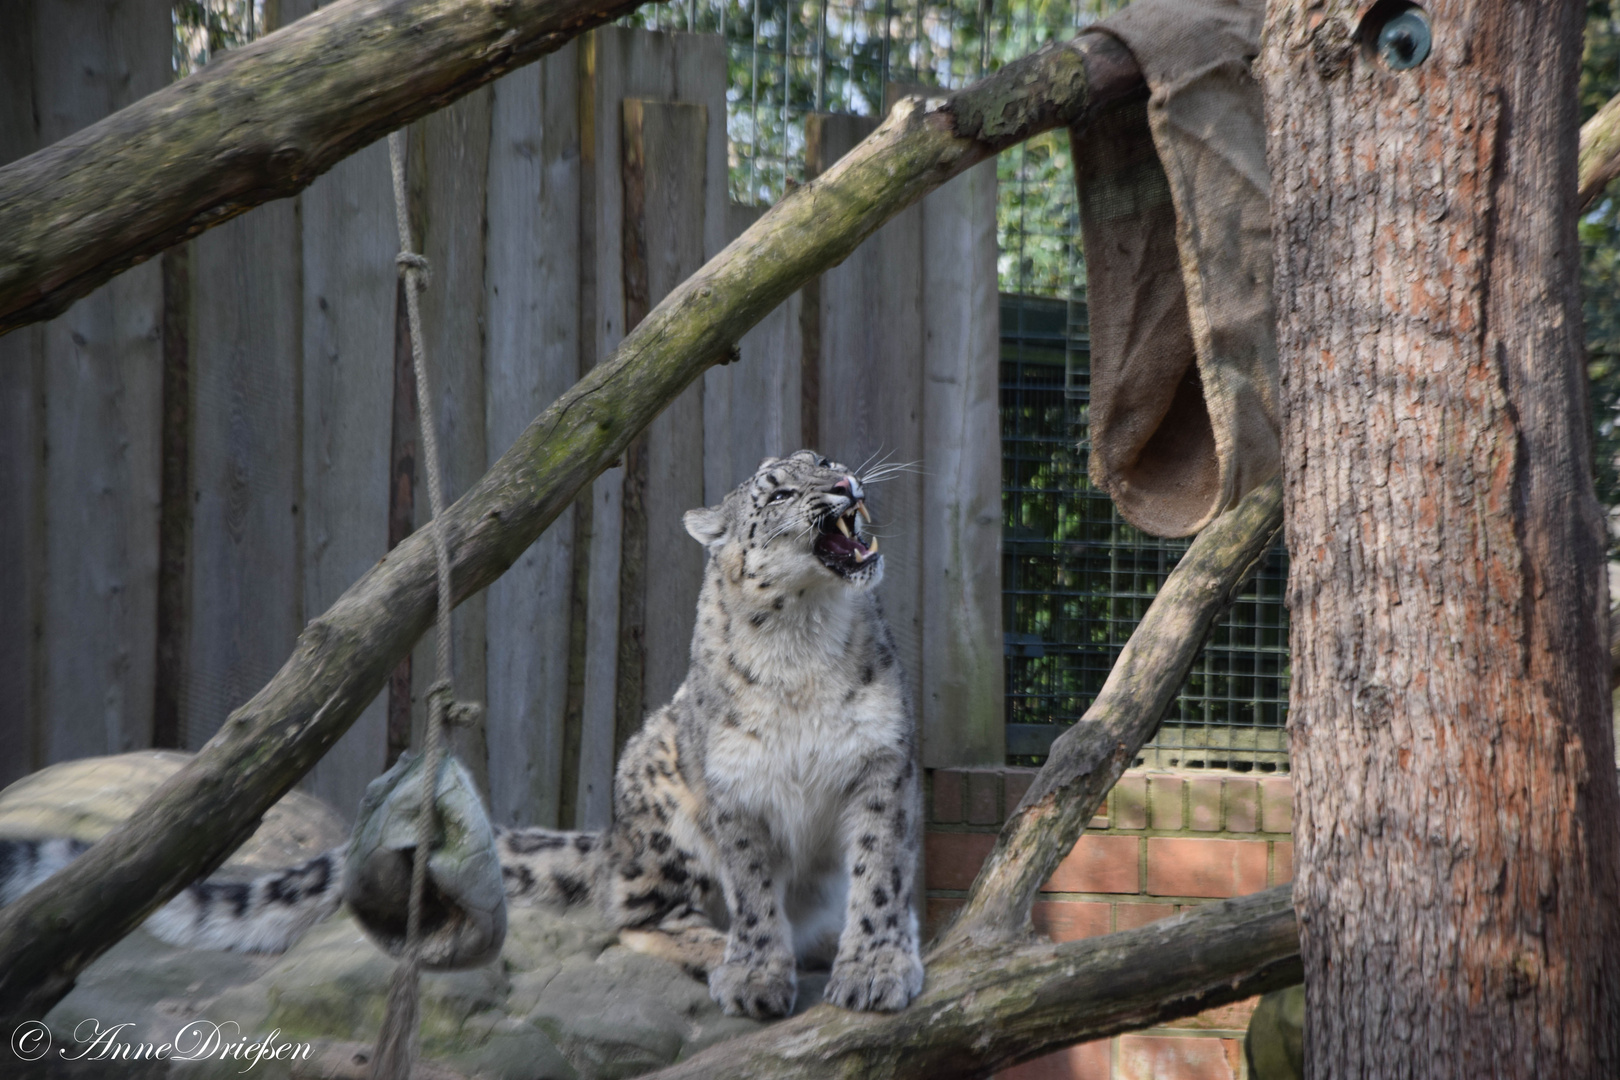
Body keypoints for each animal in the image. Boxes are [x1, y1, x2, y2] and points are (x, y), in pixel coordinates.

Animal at [0, 450, 933, 1023]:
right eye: (777, 488)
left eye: (828, 460)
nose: (848, 485)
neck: (805, 640)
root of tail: (612, 833)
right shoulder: (733, 787)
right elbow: (752, 884)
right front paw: (756, 971)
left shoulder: (882, 763)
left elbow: (880, 872)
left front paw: (877, 966)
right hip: (657, 791)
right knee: (631, 908)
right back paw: (714, 942)